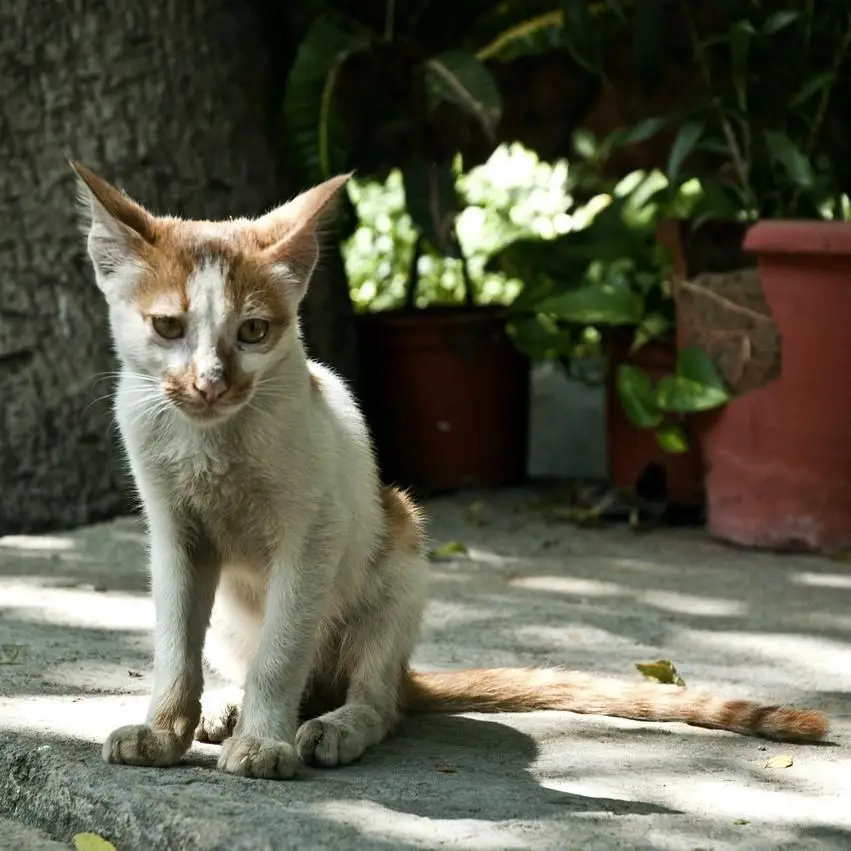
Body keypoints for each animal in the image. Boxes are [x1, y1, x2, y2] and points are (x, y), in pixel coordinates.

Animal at [73, 163, 832, 784]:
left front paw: (265, 742)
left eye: (253, 332)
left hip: (399, 546)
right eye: (168, 327)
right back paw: (228, 709)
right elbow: (175, 643)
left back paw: (332, 726)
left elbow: (281, 652)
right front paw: (164, 731)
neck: (214, 441)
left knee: (377, 698)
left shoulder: (314, 530)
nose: (210, 383)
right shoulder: (175, 532)